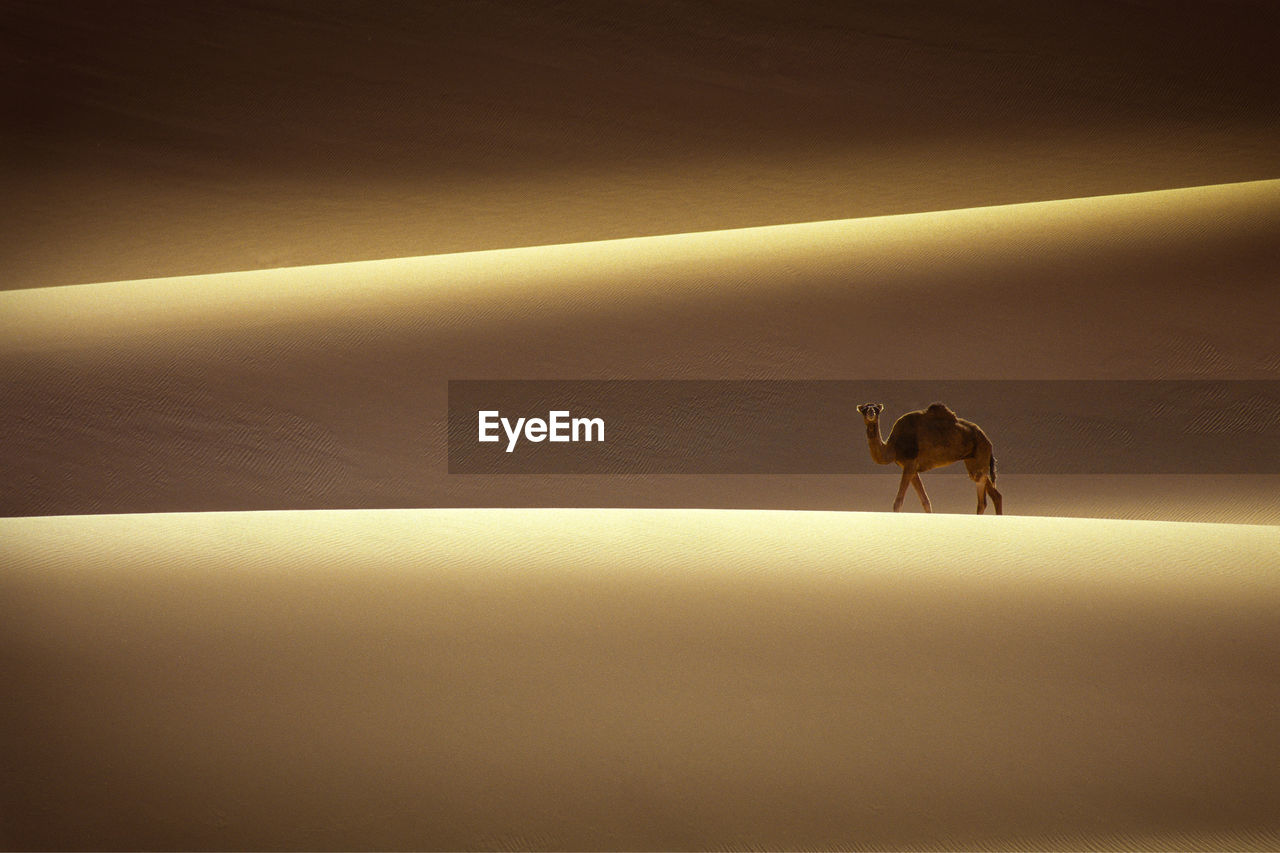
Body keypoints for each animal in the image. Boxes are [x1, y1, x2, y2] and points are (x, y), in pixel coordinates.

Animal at [855, 399, 1003, 512]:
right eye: (864, 409)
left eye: (876, 409)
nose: (871, 412)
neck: (893, 446)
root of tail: (988, 441)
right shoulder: (911, 467)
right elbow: (925, 500)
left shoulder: (910, 462)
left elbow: (898, 501)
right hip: (974, 460)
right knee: (996, 495)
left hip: (980, 455)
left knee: (982, 497)